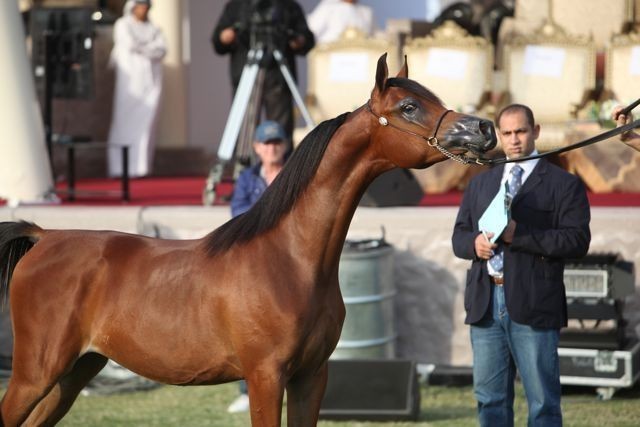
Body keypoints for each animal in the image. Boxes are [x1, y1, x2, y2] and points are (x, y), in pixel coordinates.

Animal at [0, 54, 496, 426]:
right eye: (409, 107)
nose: (483, 129)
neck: (289, 258)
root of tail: (44, 237)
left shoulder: (310, 377)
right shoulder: (265, 376)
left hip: (71, 374)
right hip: (35, 373)